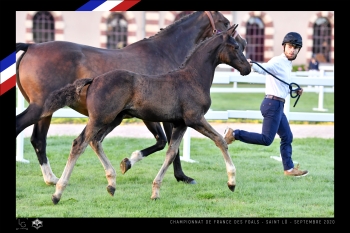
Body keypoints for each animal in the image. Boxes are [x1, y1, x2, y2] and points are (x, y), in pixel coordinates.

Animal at [15, 11, 246, 186]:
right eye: (225, 23)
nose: (244, 43)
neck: (165, 53)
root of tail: (32, 46)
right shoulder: (159, 116)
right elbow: (168, 144)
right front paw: (181, 176)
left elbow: (164, 143)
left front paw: (129, 162)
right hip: (42, 108)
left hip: (47, 112)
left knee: (38, 140)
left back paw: (52, 179)